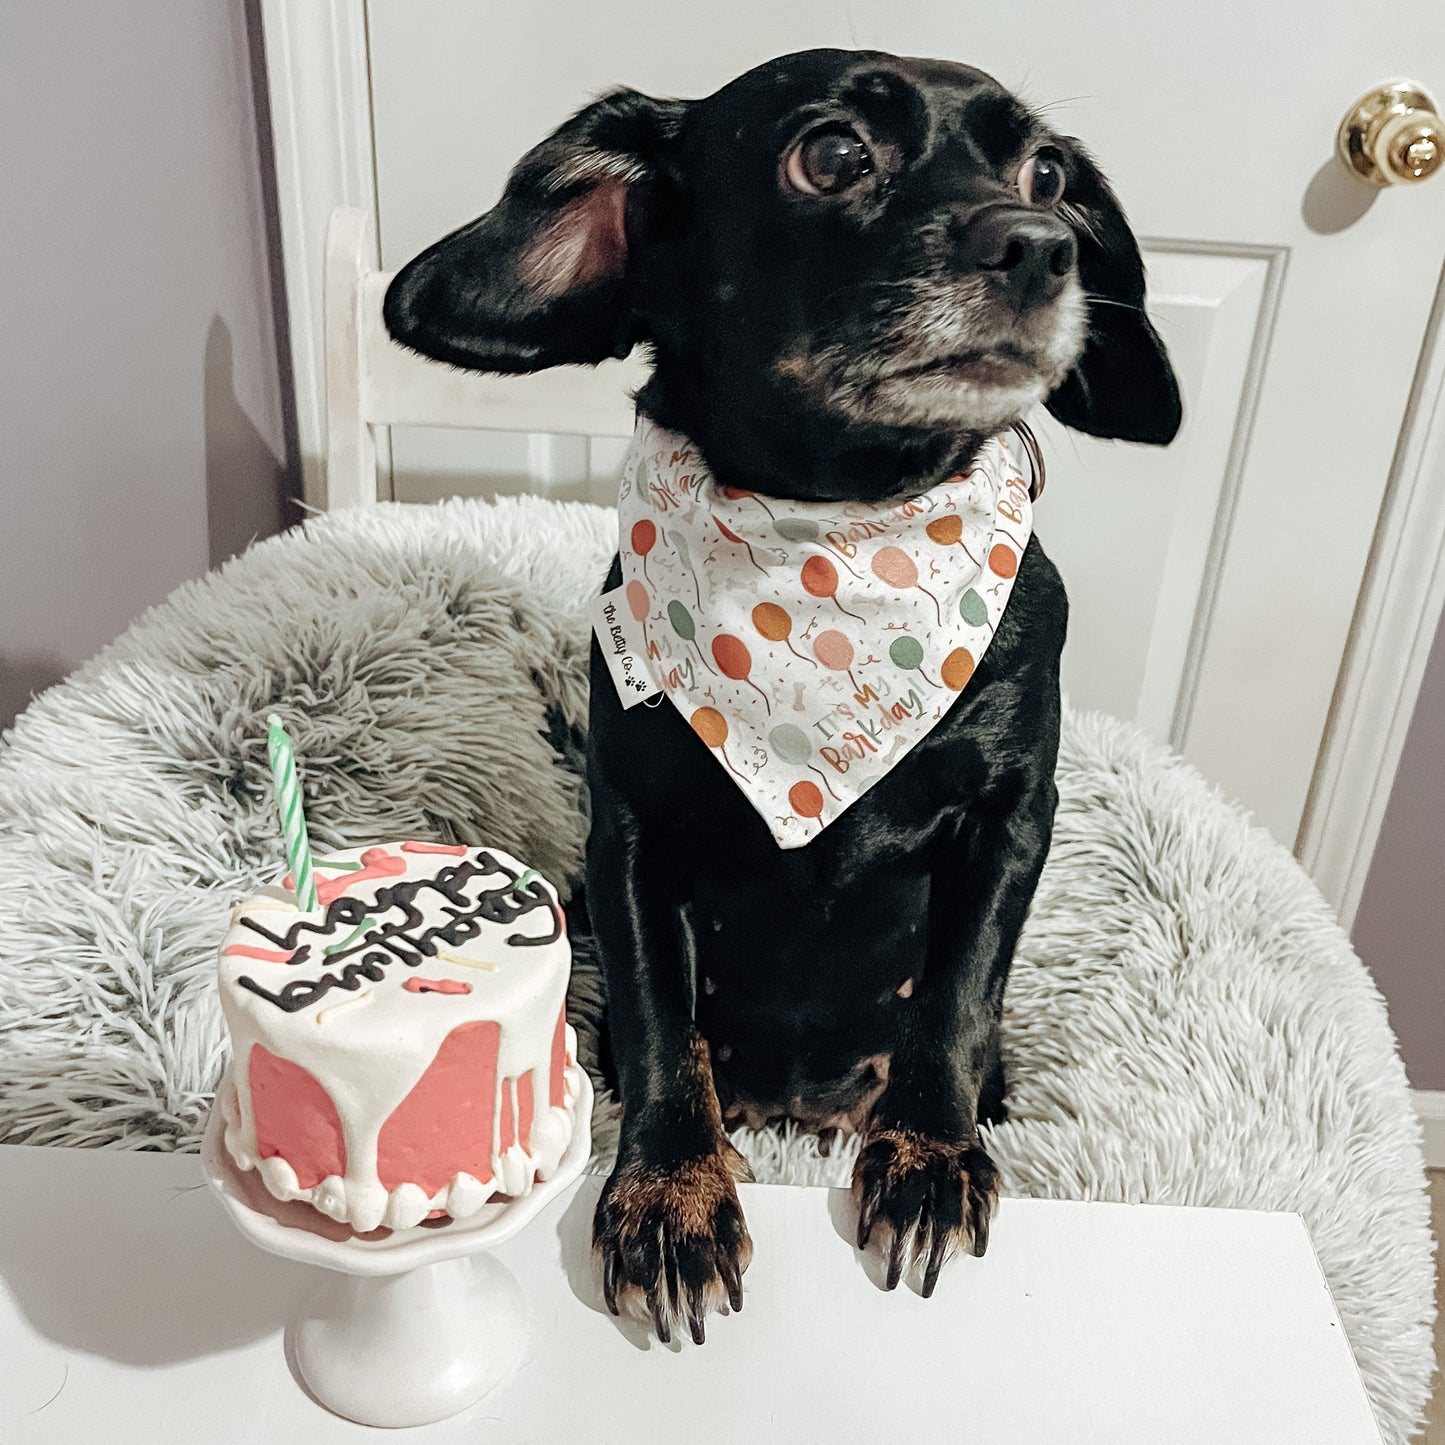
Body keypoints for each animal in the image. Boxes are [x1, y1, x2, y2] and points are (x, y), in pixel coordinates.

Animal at [384, 50, 1173, 1346]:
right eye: (833, 153)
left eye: (1049, 175)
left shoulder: (1011, 817)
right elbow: (662, 1019)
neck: (835, 543)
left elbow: (954, 993)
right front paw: (669, 1189)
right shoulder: (631, 840)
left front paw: (931, 1153)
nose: (1041, 246)